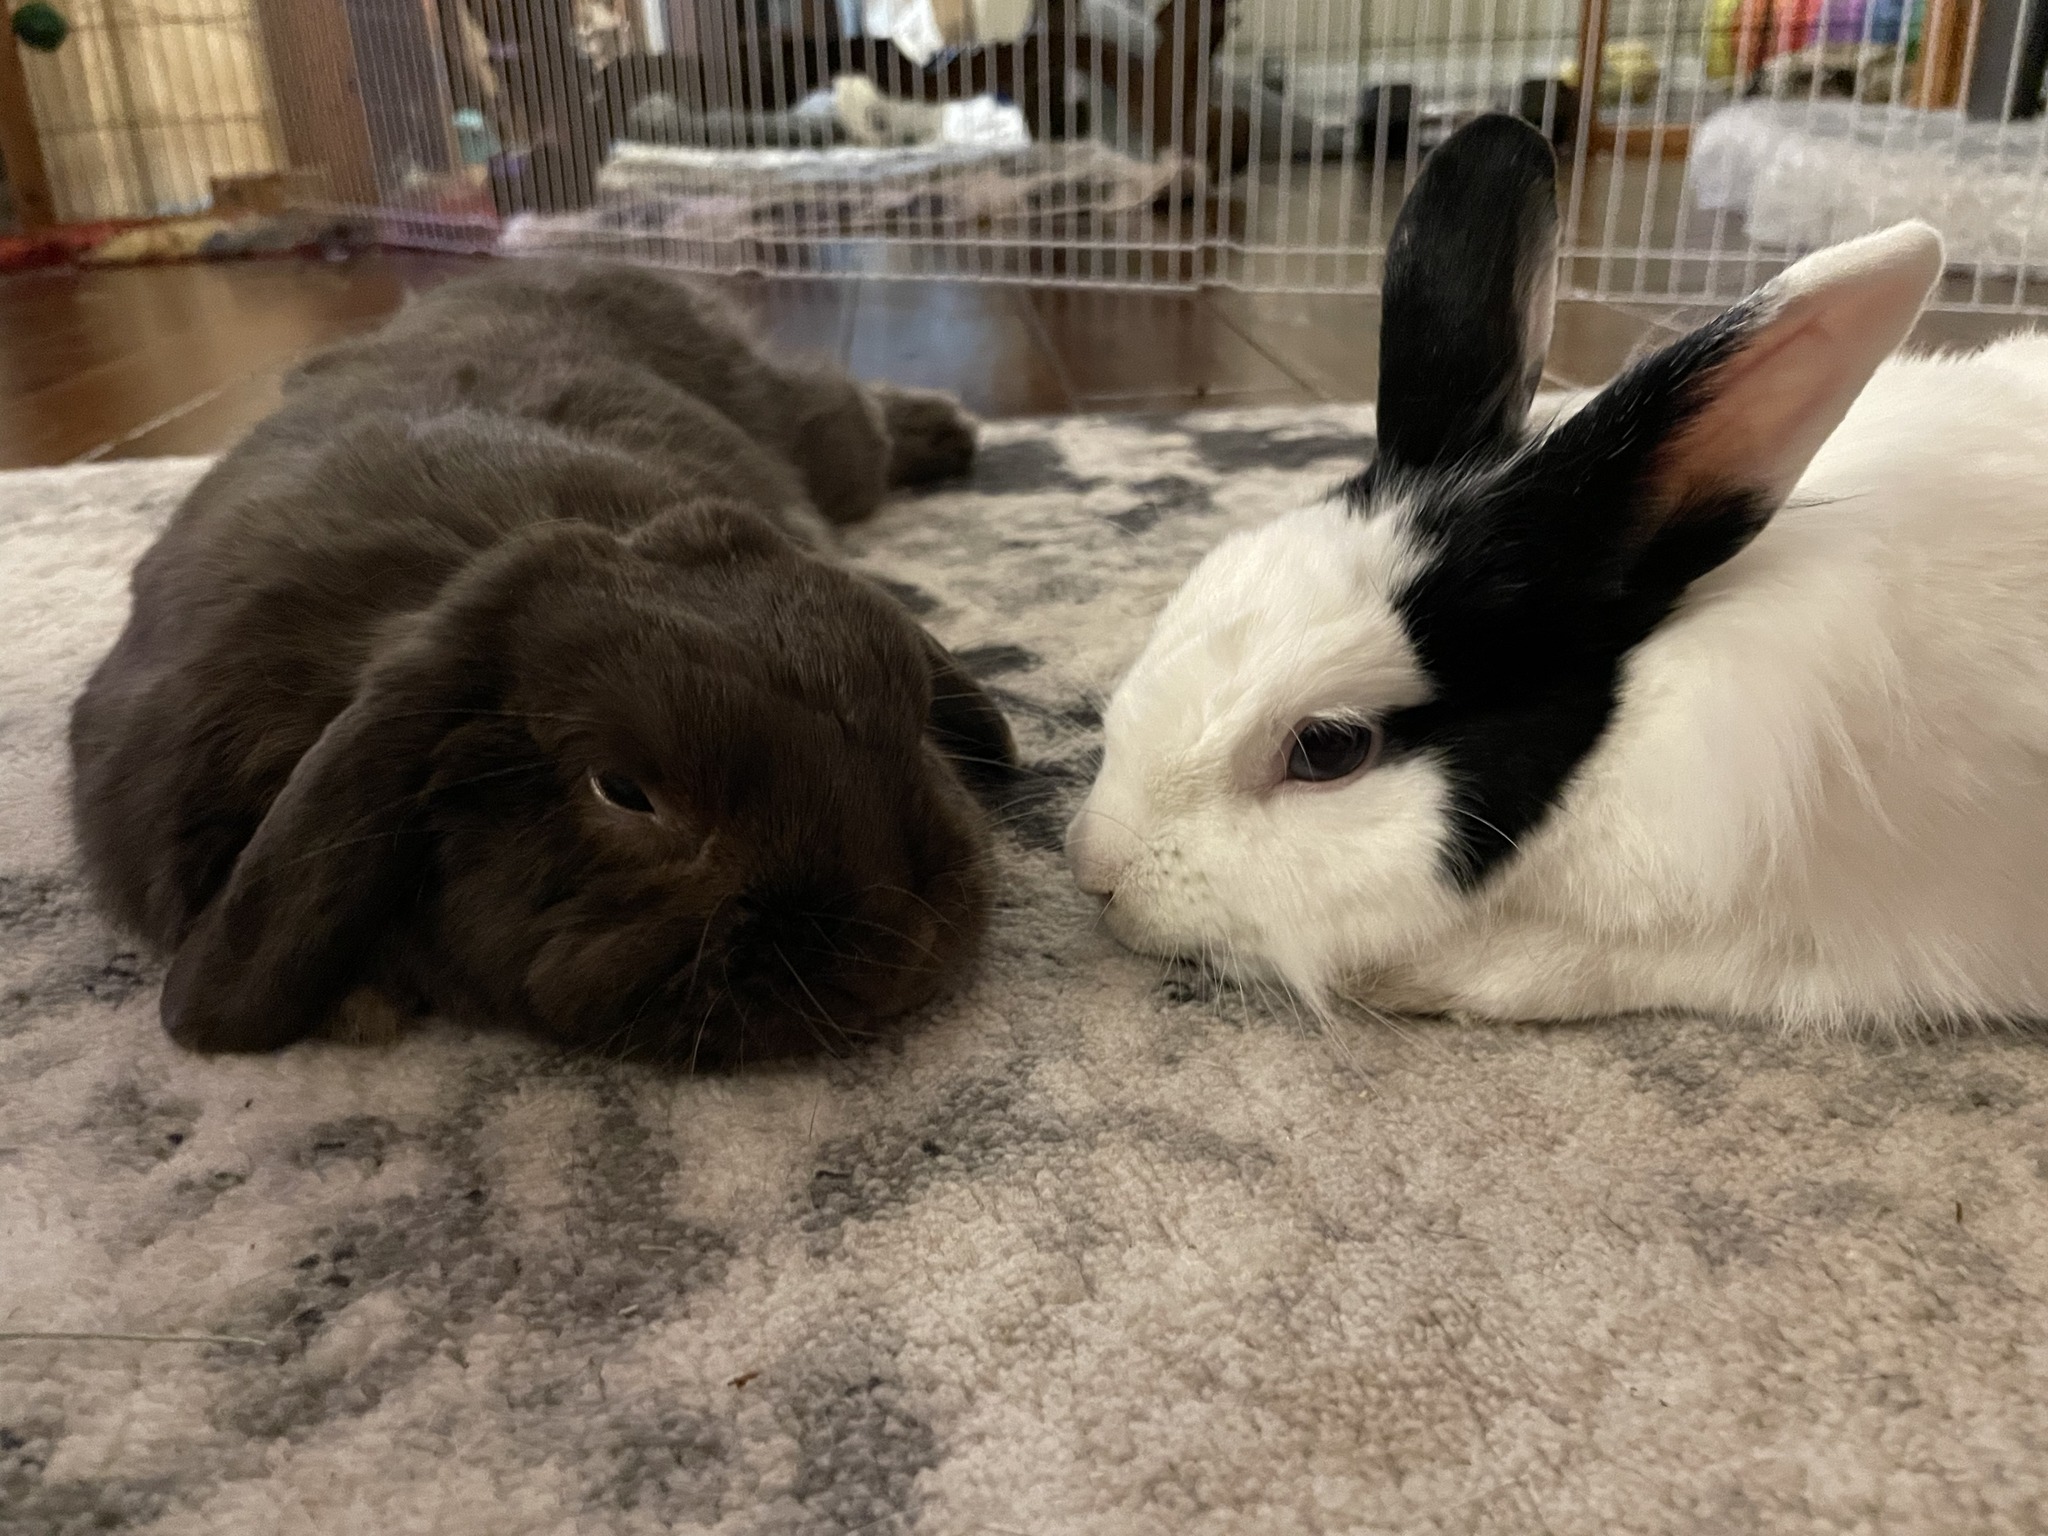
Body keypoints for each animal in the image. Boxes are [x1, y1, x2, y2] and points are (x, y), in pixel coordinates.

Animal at [70, 258, 1013, 1065]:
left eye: (913, 710)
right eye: (622, 791)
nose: (911, 937)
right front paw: (361, 1008)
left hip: (821, 440)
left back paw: (951, 432)